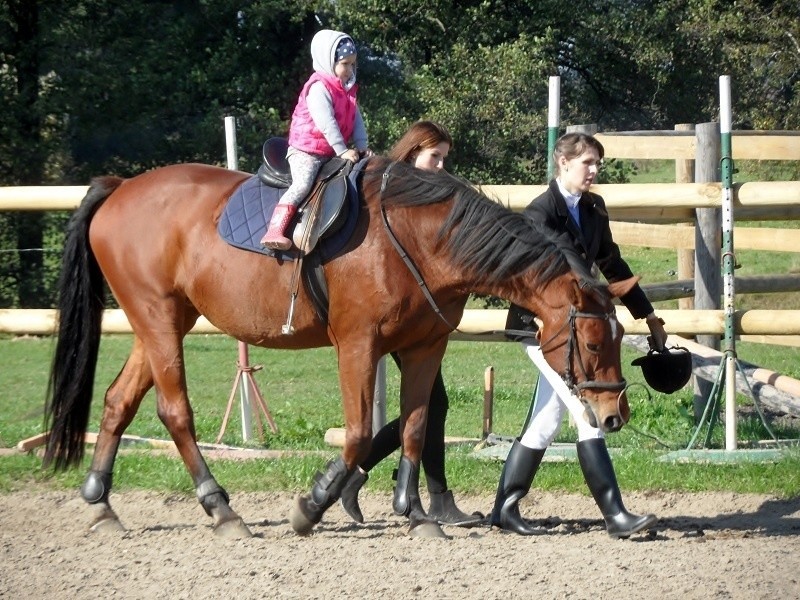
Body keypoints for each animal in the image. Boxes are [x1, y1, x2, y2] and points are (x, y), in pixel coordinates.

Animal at [43, 158, 636, 540]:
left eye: (619, 336)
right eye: (590, 340)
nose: (612, 415)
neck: (419, 239)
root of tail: (121, 186)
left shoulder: (424, 348)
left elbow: (415, 427)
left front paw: (417, 515)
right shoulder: (357, 344)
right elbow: (356, 434)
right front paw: (312, 504)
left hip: (161, 323)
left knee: (119, 401)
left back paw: (101, 506)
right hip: (160, 321)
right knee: (174, 411)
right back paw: (221, 509)